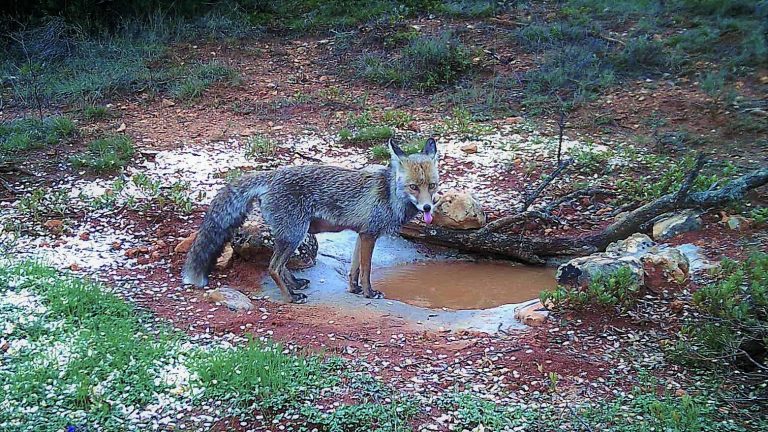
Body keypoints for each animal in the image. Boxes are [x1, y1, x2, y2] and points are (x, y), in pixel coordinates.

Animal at [181, 137, 440, 303]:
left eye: (432, 185)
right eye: (414, 187)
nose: (427, 207)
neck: (389, 194)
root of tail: (272, 174)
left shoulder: (361, 233)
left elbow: (354, 268)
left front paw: (354, 289)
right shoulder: (370, 234)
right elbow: (367, 270)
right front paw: (369, 293)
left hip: (290, 235)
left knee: (279, 265)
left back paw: (295, 284)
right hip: (296, 234)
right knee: (273, 267)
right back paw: (291, 297)